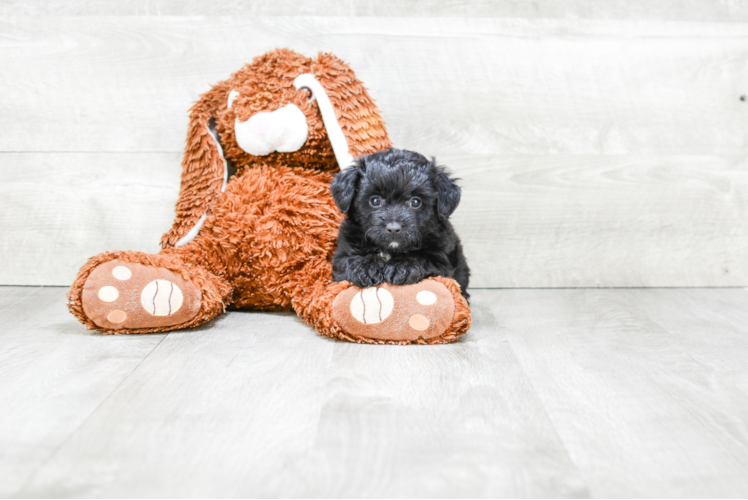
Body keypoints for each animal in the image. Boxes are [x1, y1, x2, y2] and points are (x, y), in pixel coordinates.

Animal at [328, 146, 468, 298]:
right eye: (375, 200)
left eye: (415, 202)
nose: (394, 228)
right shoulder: (342, 254)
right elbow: (349, 260)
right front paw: (367, 266)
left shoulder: (441, 261)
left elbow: (422, 257)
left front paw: (402, 266)